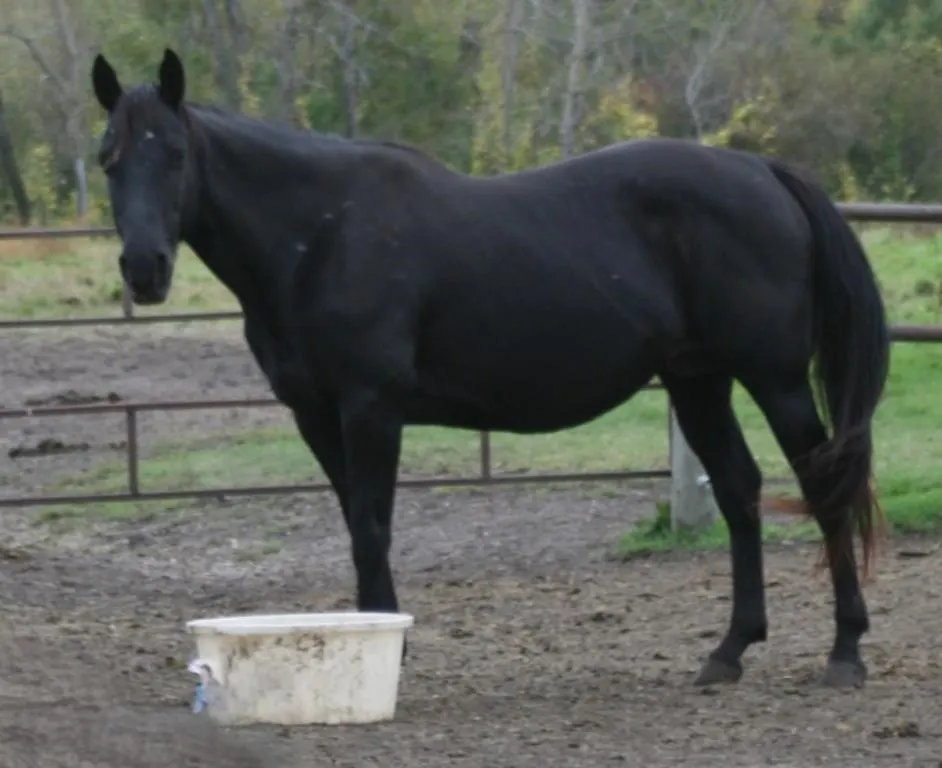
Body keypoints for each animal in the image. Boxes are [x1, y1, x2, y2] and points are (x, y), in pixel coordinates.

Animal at [91, 48, 890, 689]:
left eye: (175, 155)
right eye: (110, 158)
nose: (144, 268)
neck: (319, 235)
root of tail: (761, 170)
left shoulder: (371, 408)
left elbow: (372, 529)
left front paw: (391, 652)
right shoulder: (316, 415)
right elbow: (356, 524)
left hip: (775, 380)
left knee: (822, 488)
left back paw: (845, 653)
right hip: (698, 381)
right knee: (738, 491)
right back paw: (729, 651)